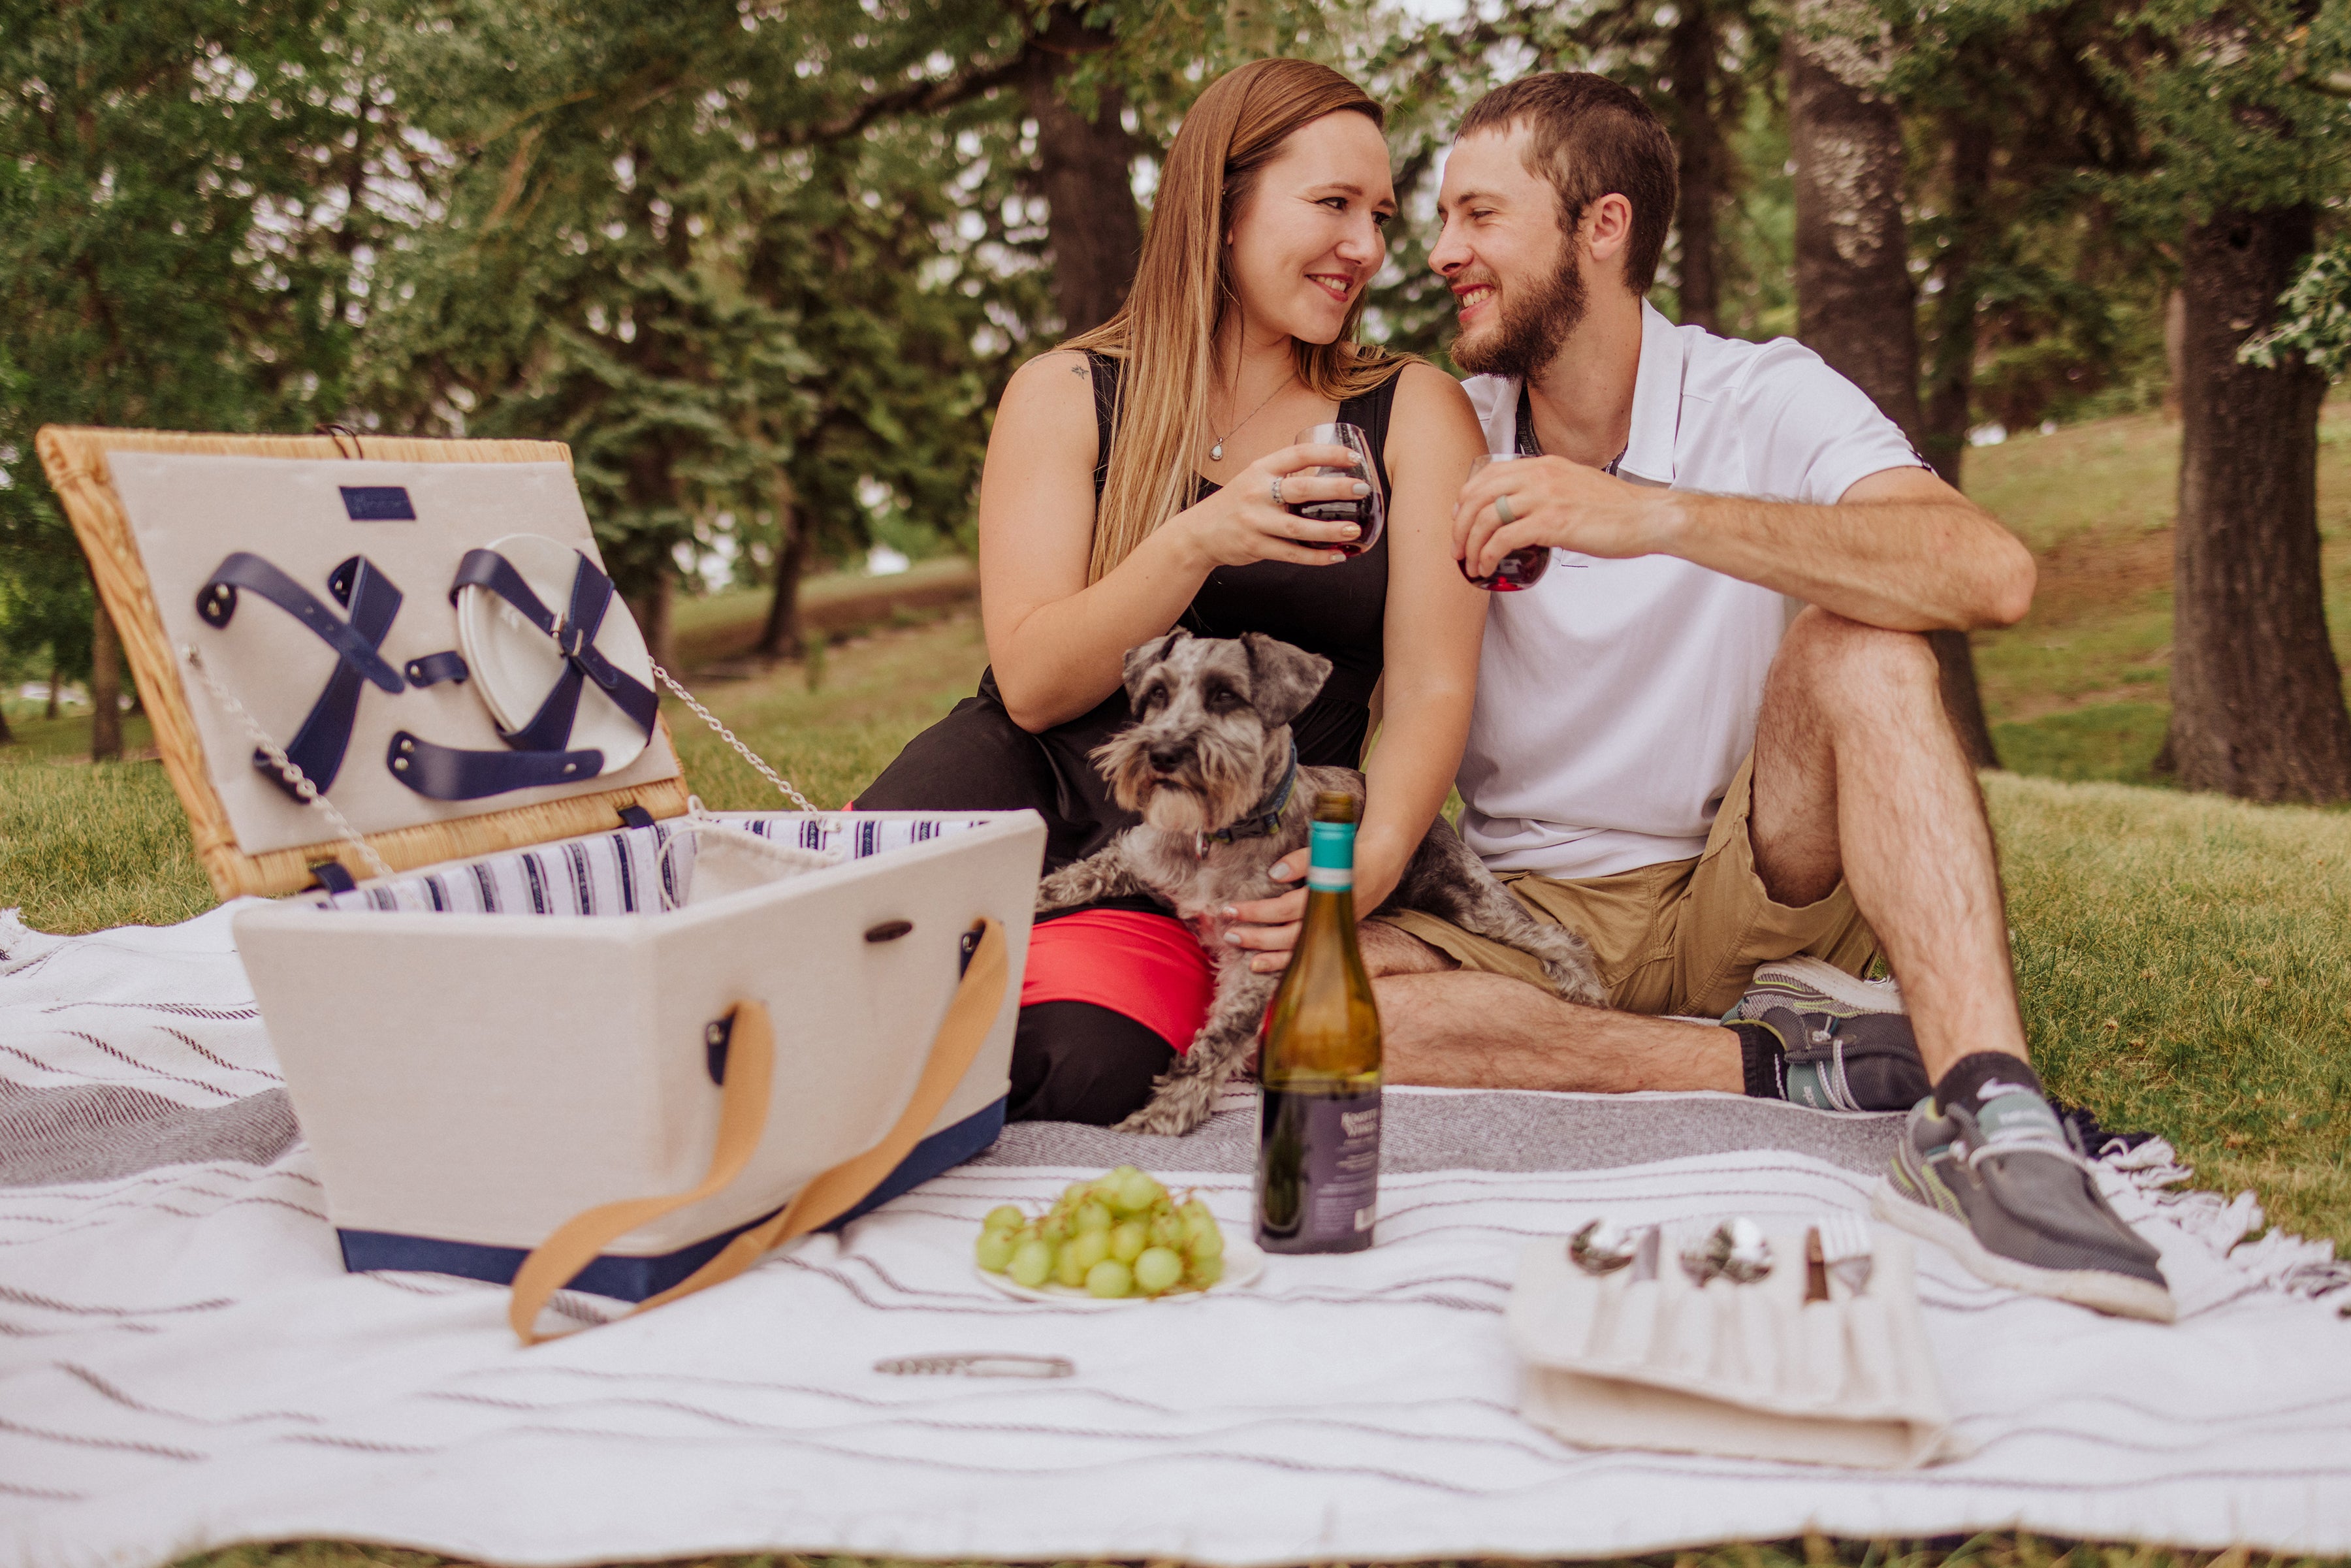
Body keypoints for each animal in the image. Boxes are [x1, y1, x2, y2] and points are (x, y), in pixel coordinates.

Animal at [1039, 630, 1608, 1142]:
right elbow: (1066, 881)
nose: (1161, 752)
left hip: (1474, 900)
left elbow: (1220, 1039)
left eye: (1225, 695)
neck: (1218, 838)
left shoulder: (1257, 955)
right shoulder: (1130, 858)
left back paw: (1586, 986)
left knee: (1552, 934)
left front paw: (1165, 1113)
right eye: (1157, 693)